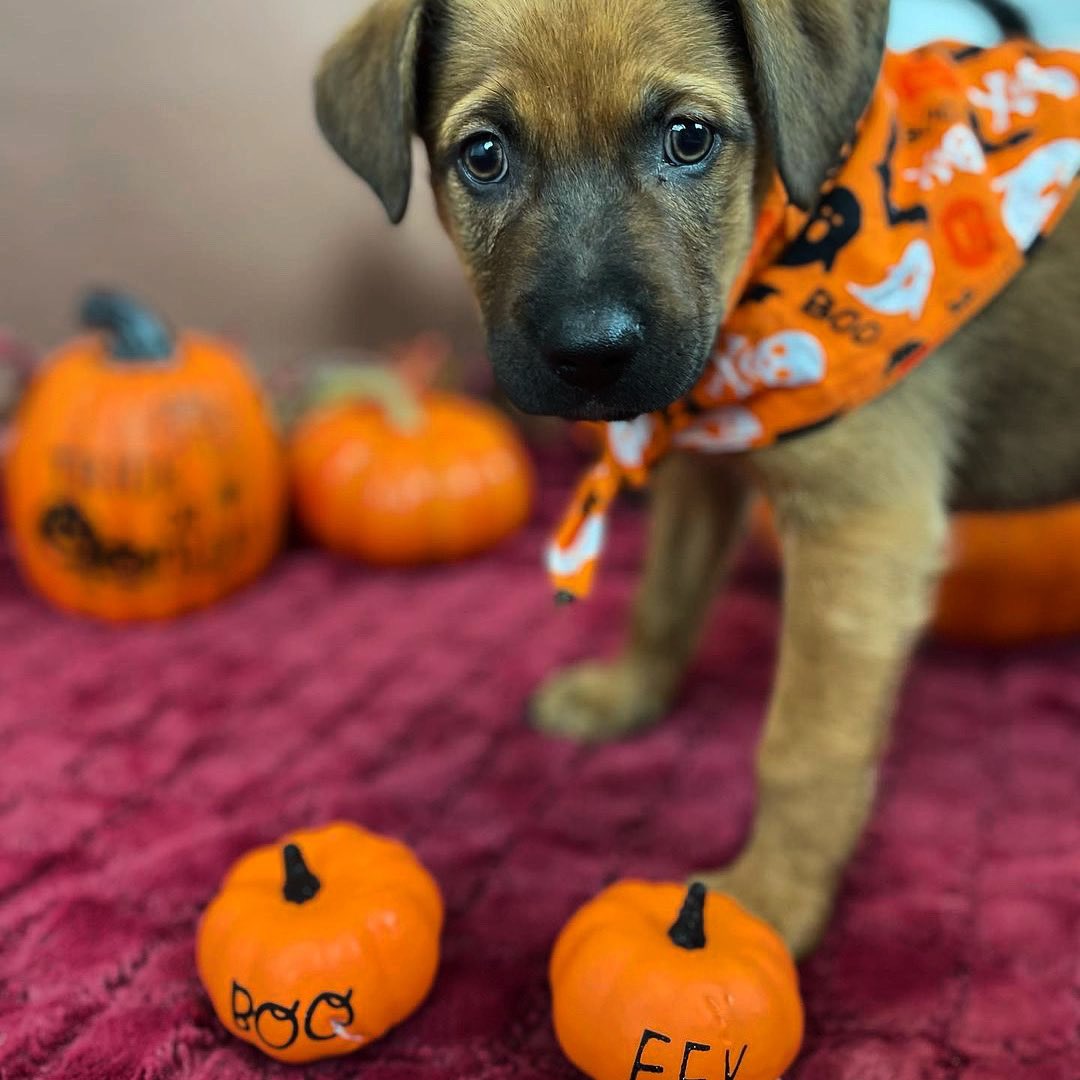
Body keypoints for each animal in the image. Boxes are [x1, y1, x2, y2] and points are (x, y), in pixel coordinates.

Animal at [315, 2, 1080, 963]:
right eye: (483, 155)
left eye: (688, 138)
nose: (591, 356)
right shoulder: (705, 473)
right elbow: (665, 600)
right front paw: (623, 697)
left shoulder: (862, 530)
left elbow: (804, 746)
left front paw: (767, 903)